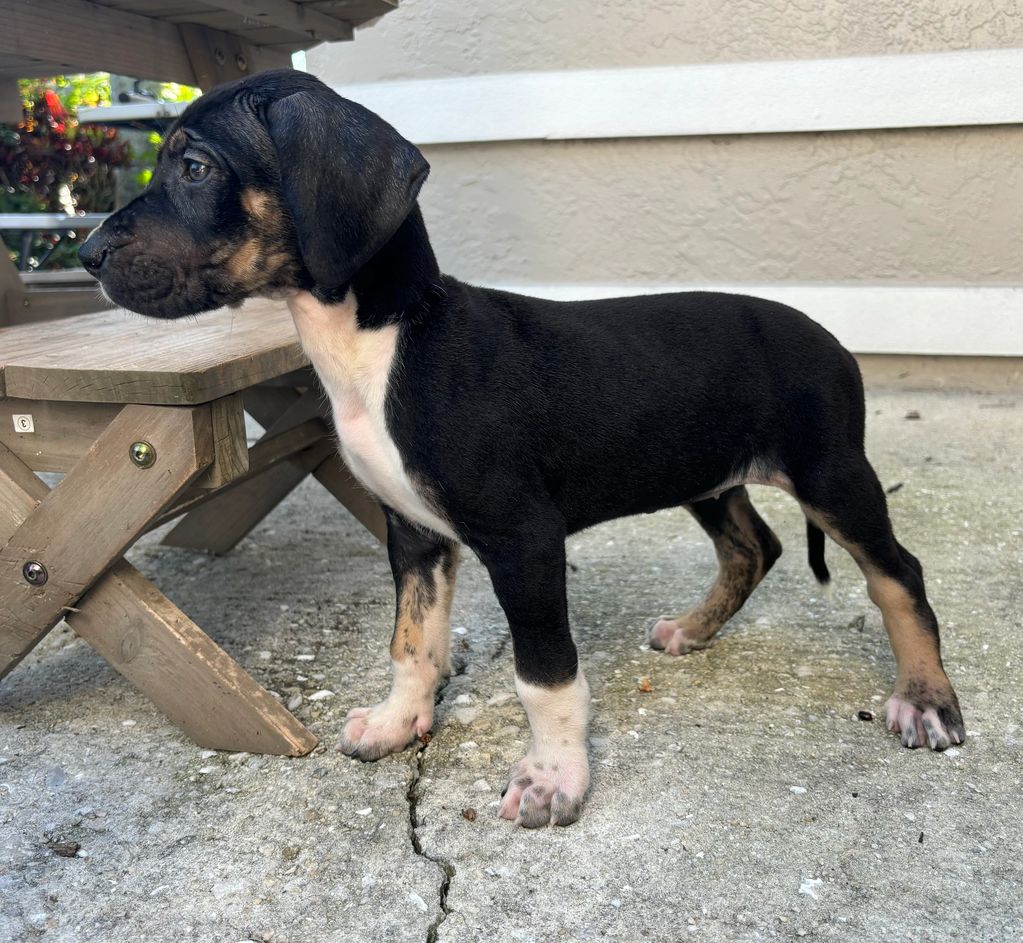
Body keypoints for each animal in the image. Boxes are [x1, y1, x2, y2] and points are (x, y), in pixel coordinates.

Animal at [77, 70, 957, 826]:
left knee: (897, 574)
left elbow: (544, 674)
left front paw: (553, 777)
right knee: (754, 546)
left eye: (195, 166)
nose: (86, 256)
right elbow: (411, 640)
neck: (391, 337)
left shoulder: (522, 539)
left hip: (831, 473)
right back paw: (694, 627)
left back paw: (923, 696)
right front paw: (399, 718)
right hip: (704, 474)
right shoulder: (413, 533)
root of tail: (832, 341)